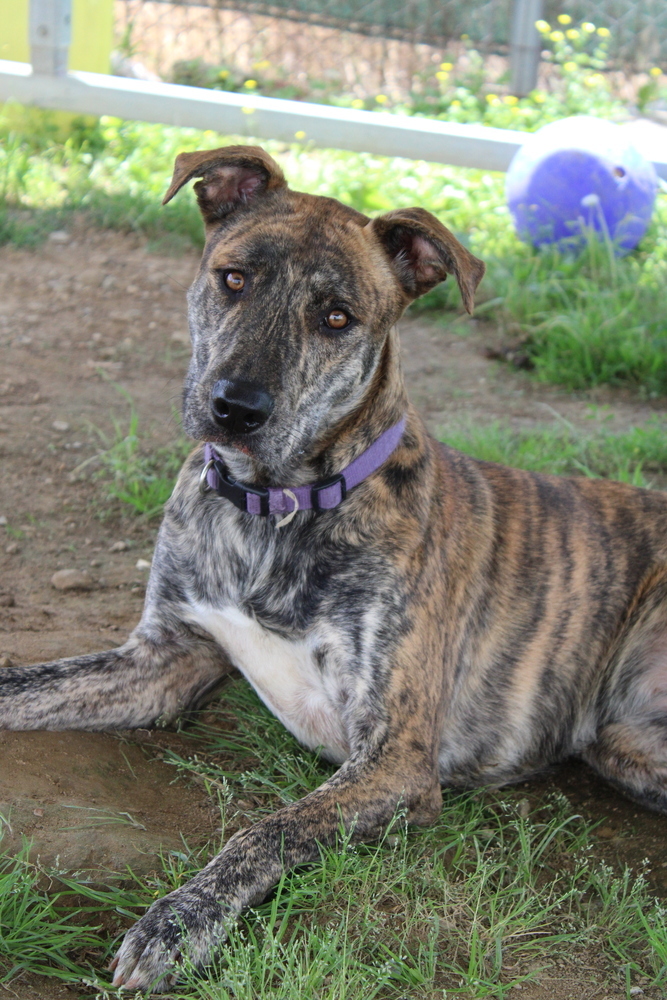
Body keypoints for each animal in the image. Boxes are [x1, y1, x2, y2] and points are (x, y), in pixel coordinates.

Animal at [3, 145, 667, 988]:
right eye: (233, 278)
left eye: (337, 318)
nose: (235, 407)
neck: (271, 509)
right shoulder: (165, 659)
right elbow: (24, 686)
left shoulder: (393, 758)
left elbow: (269, 831)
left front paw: (177, 922)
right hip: (625, 743)